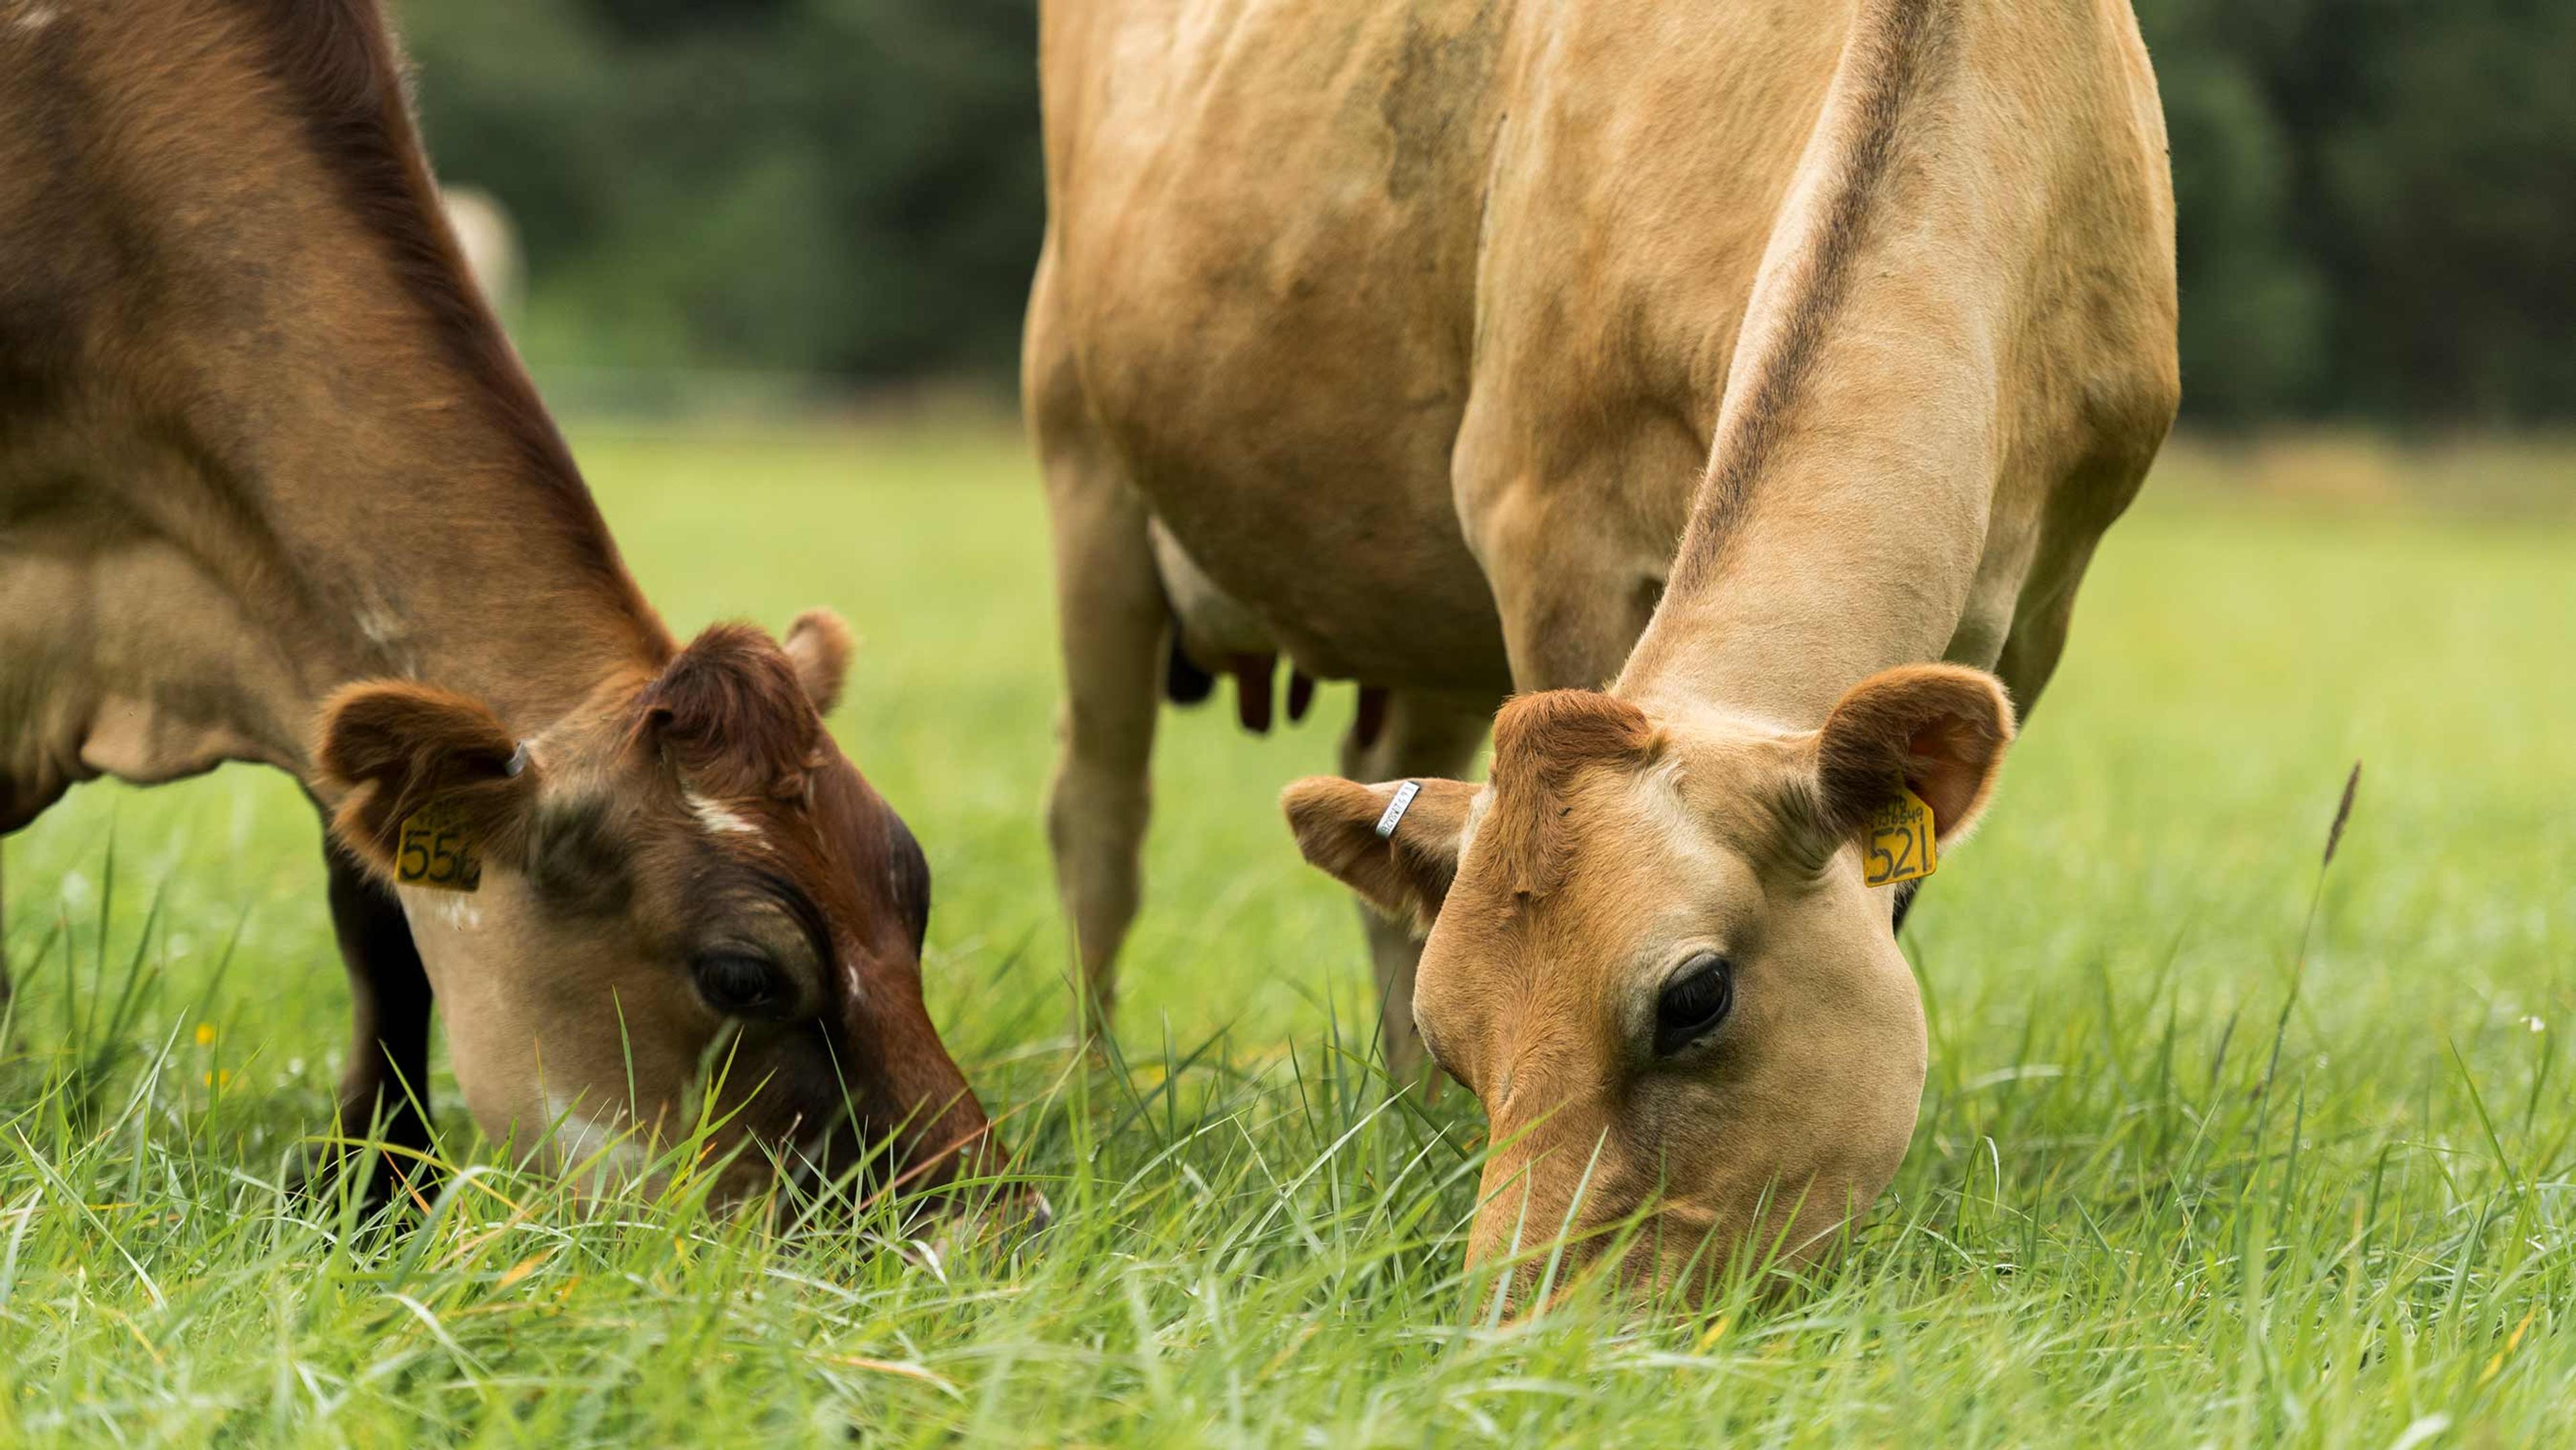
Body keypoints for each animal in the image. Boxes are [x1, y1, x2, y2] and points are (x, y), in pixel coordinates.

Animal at [1025, 0, 2174, 1298]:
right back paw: (1095, 1098)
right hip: (1081, 449)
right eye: (1466, 1036)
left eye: (1694, 997)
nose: (1516, 1317)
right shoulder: (1545, 517)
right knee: (1099, 814)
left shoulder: (2044, 598)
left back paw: (1402, 1122)